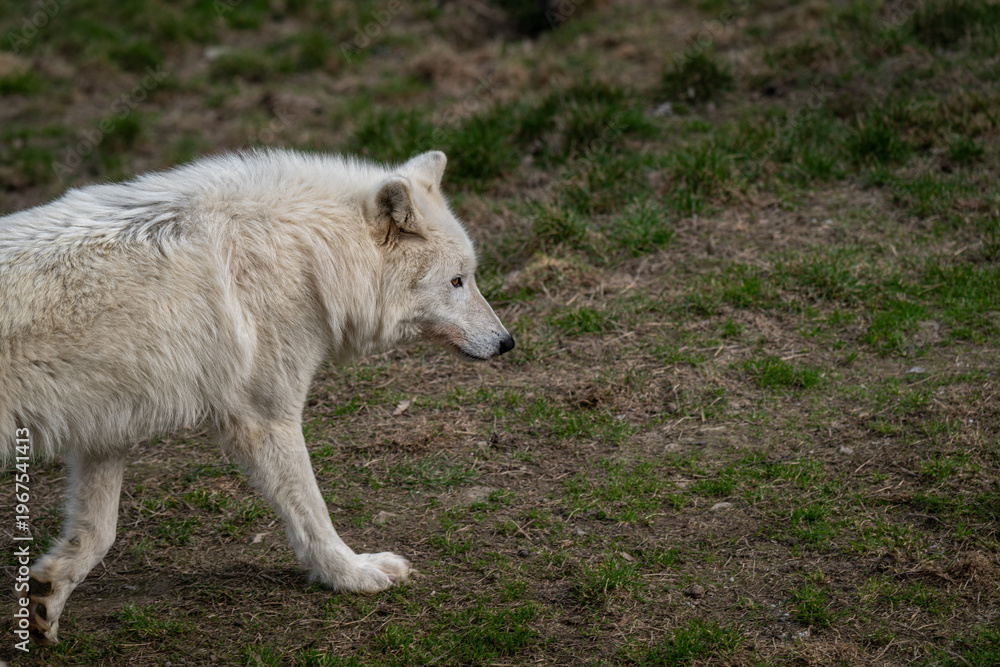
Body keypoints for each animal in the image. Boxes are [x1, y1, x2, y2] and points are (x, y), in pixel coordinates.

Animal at [0, 149, 515, 646]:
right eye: (457, 281)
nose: (507, 342)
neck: (311, 256)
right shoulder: (266, 419)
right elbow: (312, 513)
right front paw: (351, 574)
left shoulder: (106, 430)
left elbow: (97, 533)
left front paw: (45, 599)